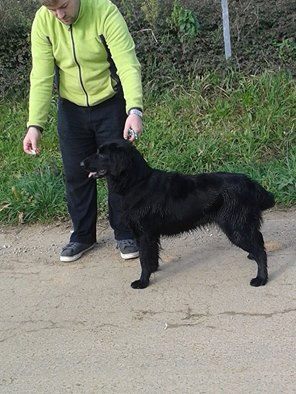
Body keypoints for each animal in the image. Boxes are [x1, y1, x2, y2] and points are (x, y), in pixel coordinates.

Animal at [81, 140, 276, 288]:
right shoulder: (149, 235)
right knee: (259, 240)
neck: (137, 182)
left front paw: (143, 281)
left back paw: (261, 278)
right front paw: (153, 270)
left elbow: (144, 259)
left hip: (236, 228)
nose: (81, 163)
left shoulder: (144, 233)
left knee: (260, 251)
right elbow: (151, 256)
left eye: (102, 154)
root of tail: (249, 182)